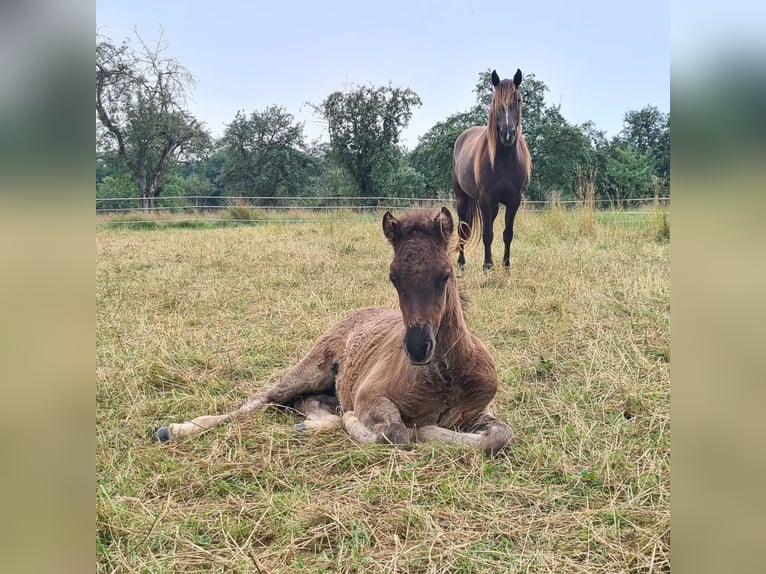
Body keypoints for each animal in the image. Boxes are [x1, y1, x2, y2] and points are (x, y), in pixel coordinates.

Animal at [154, 209, 516, 456]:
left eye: (445, 274)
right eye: (393, 277)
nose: (417, 347)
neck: (446, 377)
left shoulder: (479, 412)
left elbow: (500, 436)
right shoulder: (370, 396)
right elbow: (397, 433)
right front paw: (388, 427)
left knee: (307, 402)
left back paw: (309, 425)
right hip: (311, 368)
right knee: (263, 399)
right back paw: (174, 430)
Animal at [452, 69, 532, 272]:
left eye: (518, 100)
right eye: (496, 101)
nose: (507, 135)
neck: (504, 161)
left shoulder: (513, 201)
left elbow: (507, 233)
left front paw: (506, 267)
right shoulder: (485, 199)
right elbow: (487, 234)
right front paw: (487, 267)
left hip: (494, 206)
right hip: (462, 198)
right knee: (463, 229)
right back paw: (461, 264)